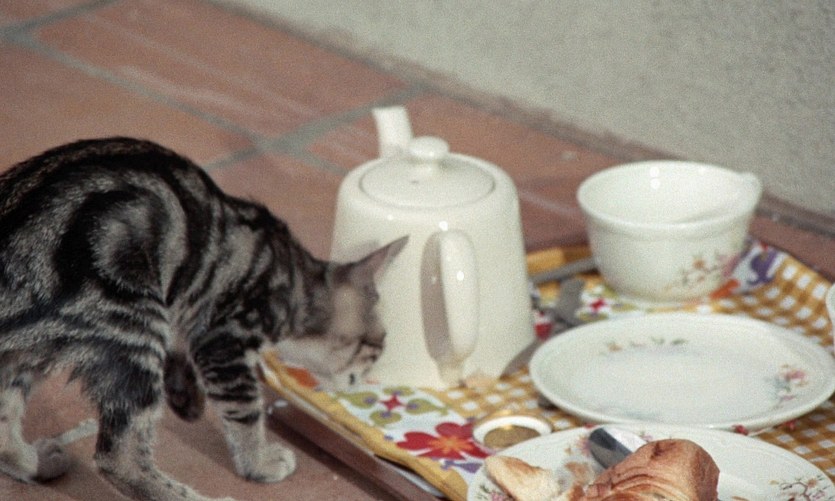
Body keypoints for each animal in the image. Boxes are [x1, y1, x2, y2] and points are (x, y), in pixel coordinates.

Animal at [0, 137, 406, 501]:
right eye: (379, 345)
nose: (367, 378)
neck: (292, 280)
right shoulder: (225, 339)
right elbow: (245, 409)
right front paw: (259, 461)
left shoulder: (186, 312)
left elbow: (184, 351)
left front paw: (186, 395)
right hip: (133, 323)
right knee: (119, 458)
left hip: (31, 351)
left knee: (4, 428)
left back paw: (37, 462)